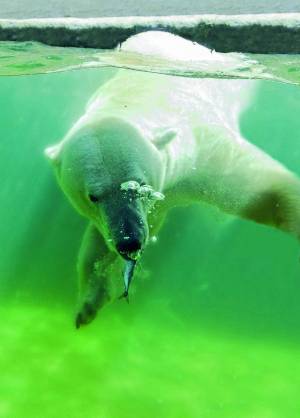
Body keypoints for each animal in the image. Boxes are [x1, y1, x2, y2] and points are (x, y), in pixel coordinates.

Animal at [45, 31, 300, 328]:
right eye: (93, 196)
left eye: (140, 186)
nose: (129, 242)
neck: (140, 92)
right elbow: (98, 244)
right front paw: (88, 305)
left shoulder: (203, 147)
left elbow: (258, 188)